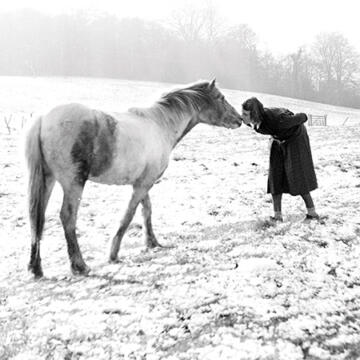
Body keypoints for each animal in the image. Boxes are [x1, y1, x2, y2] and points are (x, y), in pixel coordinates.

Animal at [24, 79, 242, 278]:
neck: (160, 126)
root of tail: (43, 119)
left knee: (37, 218)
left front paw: (152, 242)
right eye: (220, 97)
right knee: (67, 217)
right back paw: (80, 266)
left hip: (48, 180)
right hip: (73, 183)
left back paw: (36, 268)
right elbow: (129, 215)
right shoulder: (143, 184)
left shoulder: (143, 183)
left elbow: (146, 211)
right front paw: (113, 254)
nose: (240, 119)